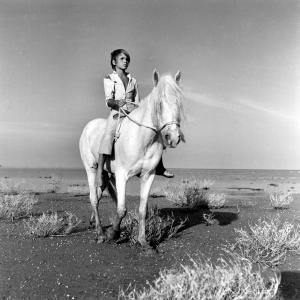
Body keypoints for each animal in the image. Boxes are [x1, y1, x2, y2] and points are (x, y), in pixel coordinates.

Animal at [78, 70, 184, 251]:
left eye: (178, 102)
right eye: (159, 104)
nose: (173, 137)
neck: (142, 138)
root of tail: (88, 127)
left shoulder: (148, 175)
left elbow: (142, 210)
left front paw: (143, 241)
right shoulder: (122, 175)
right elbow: (122, 209)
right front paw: (113, 234)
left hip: (106, 174)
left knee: (99, 196)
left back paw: (96, 225)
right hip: (91, 169)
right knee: (93, 198)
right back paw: (100, 233)